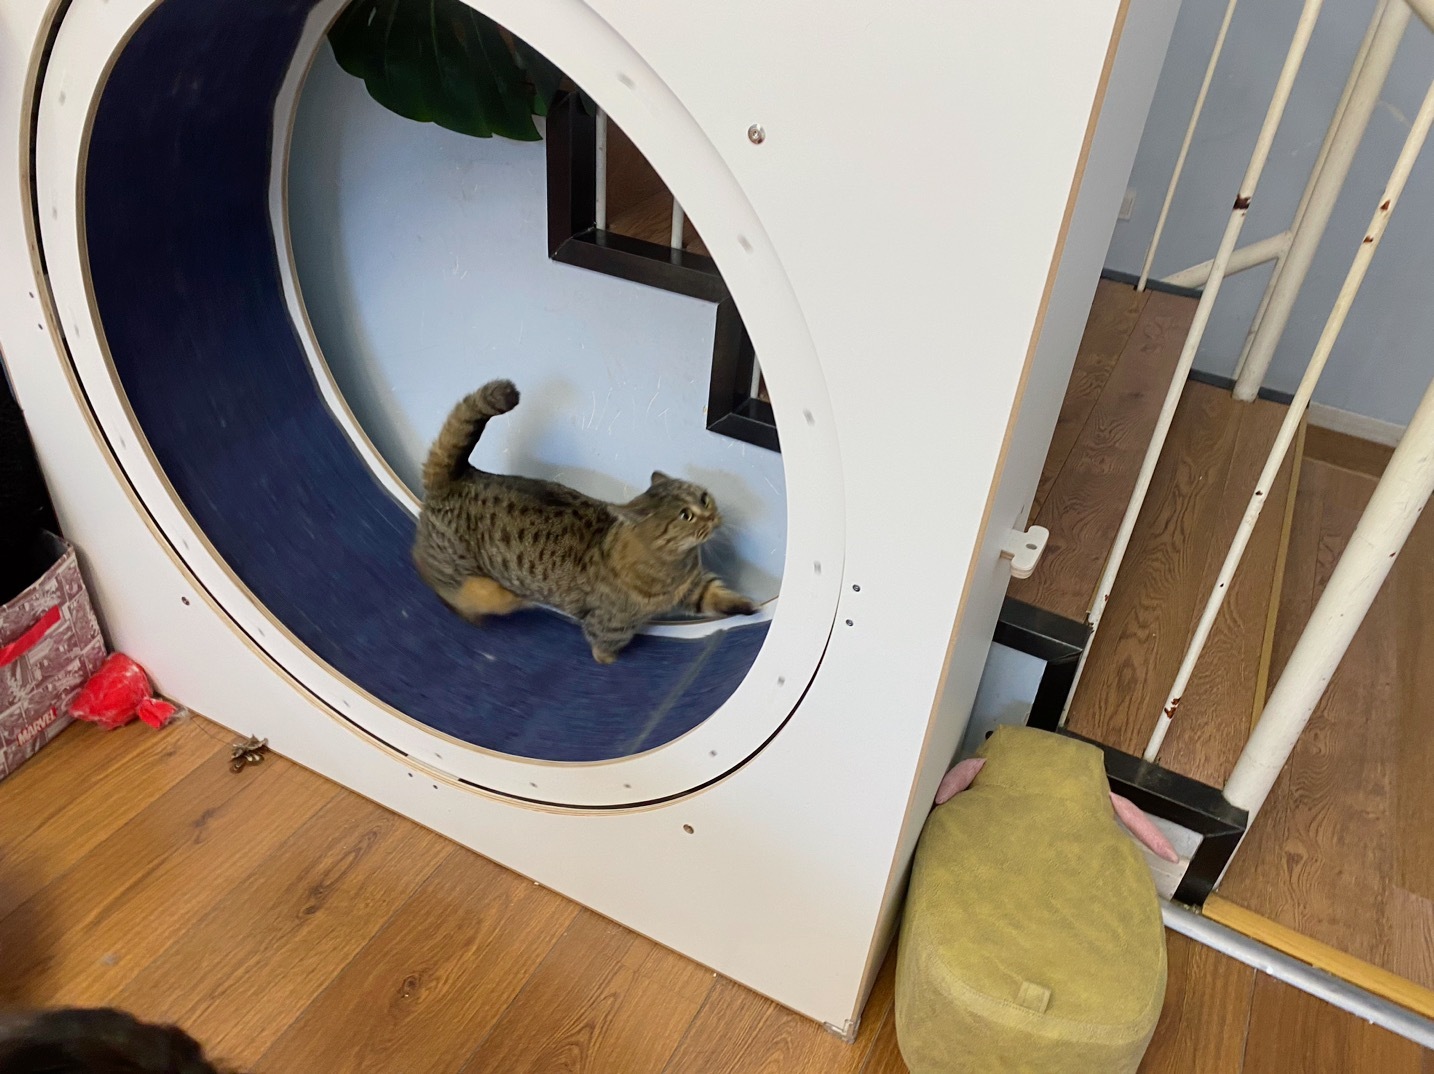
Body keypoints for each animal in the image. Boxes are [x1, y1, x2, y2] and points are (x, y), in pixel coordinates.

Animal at [412, 379, 758, 664]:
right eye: (685, 515)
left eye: (704, 497)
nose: (713, 516)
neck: (674, 566)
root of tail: (460, 476)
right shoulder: (609, 626)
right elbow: (604, 650)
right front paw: (611, 661)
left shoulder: (695, 587)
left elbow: (721, 598)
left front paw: (749, 608)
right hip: (475, 582)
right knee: (425, 568)